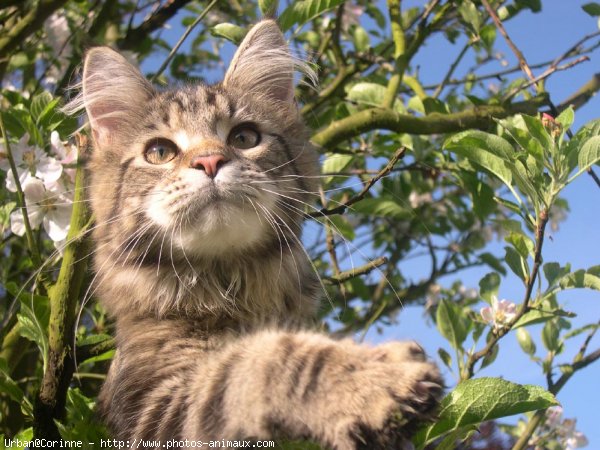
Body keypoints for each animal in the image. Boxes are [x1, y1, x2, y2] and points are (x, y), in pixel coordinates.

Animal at [71, 18, 446, 450]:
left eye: (244, 138)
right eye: (160, 152)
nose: (209, 160)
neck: (227, 284)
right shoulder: (154, 407)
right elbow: (257, 362)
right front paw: (372, 380)